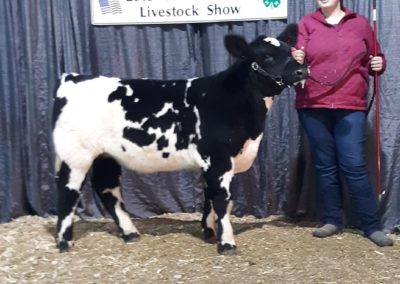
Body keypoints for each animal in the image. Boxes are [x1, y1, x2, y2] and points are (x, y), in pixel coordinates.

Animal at [53, 25, 308, 255]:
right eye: (265, 56)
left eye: (290, 50)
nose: (302, 71)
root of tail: (72, 78)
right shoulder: (218, 159)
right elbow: (223, 199)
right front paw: (226, 243)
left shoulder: (216, 162)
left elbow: (209, 196)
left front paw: (208, 231)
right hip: (75, 155)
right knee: (68, 192)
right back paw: (64, 243)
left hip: (107, 155)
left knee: (107, 189)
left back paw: (130, 233)